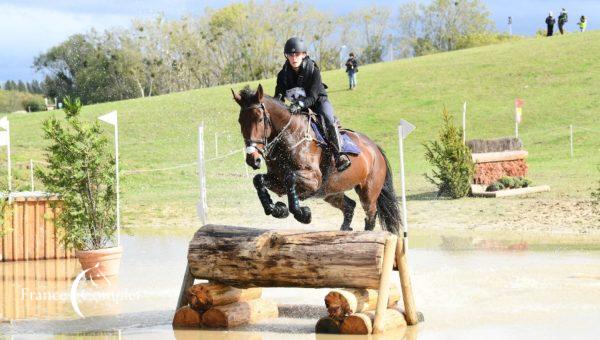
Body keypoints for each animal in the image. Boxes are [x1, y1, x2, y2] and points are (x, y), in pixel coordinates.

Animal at [232, 83, 400, 235]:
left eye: (260, 119)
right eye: (240, 121)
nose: (252, 159)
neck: (290, 137)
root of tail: (375, 148)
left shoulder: (314, 179)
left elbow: (290, 177)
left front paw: (303, 214)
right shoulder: (277, 180)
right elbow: (258, 180)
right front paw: (278, 209)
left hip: (368, 192)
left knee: (370, 216)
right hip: (330, 193)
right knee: (349, 206)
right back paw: (344, 230)